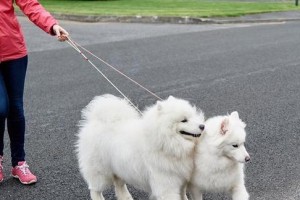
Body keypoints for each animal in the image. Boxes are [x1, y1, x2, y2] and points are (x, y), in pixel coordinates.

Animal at [76, 94, 205, 200]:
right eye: (184, 120)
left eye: (193, 116)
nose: (202, 126)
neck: (166, 143)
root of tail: (94, 122)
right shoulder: (166, 185)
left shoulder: (181, 180)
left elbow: (183, 196)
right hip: (100, 172)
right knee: (94, 190)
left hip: (118, 167)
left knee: (119, 185)